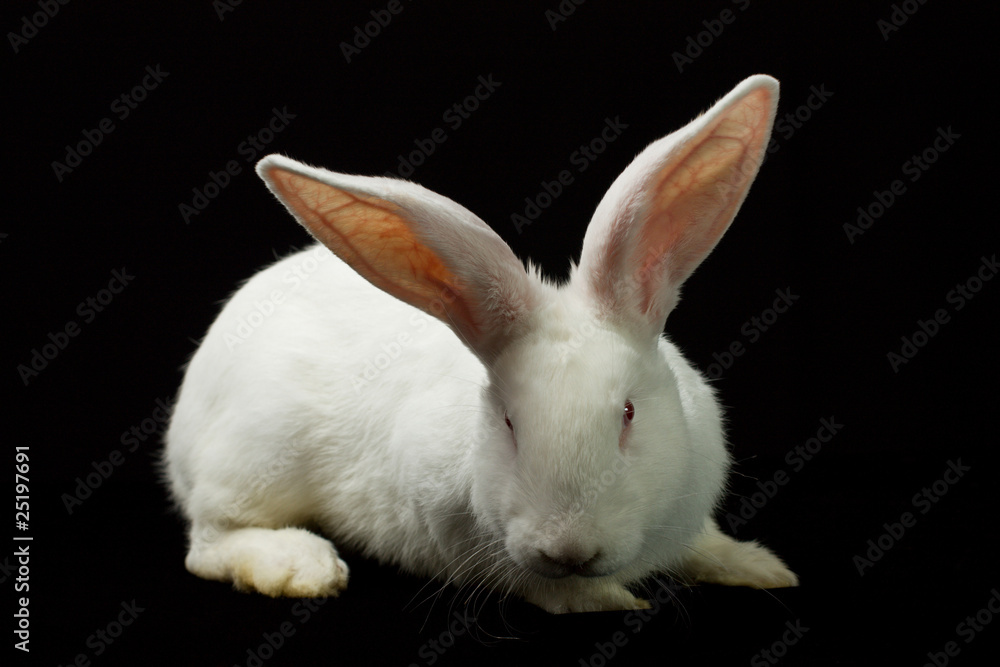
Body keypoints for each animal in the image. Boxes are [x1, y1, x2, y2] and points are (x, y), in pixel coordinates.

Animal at [164, 74, 798, 614]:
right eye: (509, 423)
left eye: (628, 413)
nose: (569, 549)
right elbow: (541, 588)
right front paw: (607, 599)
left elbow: (705, 545)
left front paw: (760, 568)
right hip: (254, 457)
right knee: (208, 542)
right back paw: (301, 567)